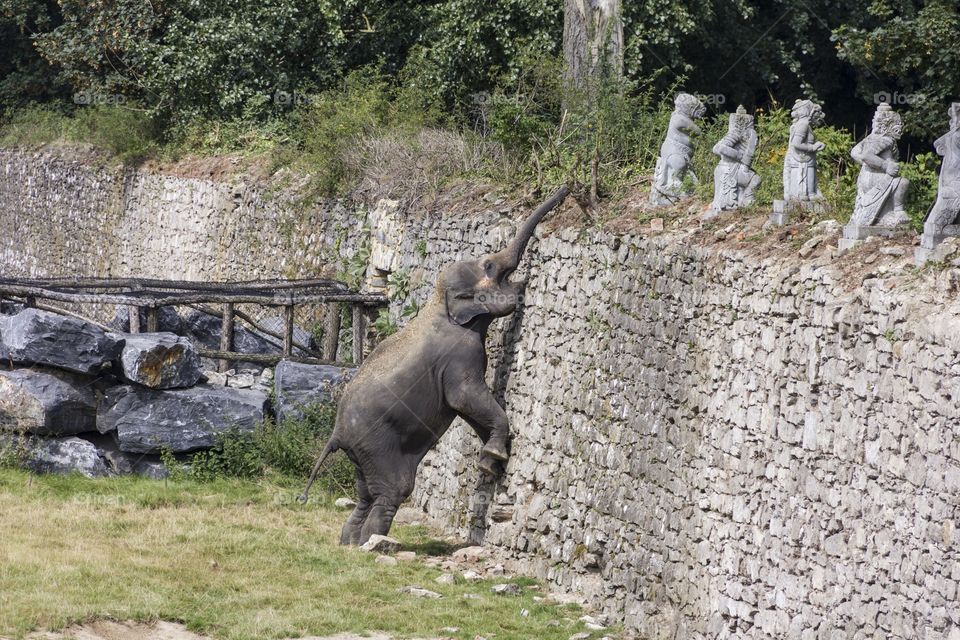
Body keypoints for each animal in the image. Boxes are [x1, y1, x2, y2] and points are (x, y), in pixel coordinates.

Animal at [298, 185, 568, 544]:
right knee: (393, 490)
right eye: (490, 266)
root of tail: (336, 433)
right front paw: (495, 458)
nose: (568, 188)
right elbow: (465, 398)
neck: (438, 301)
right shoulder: (462, 354)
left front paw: (489, 462)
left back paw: (350, 543)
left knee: (365, 493)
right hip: (377, 443)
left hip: (361, 453)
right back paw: (375, 543)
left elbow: (470, 411)